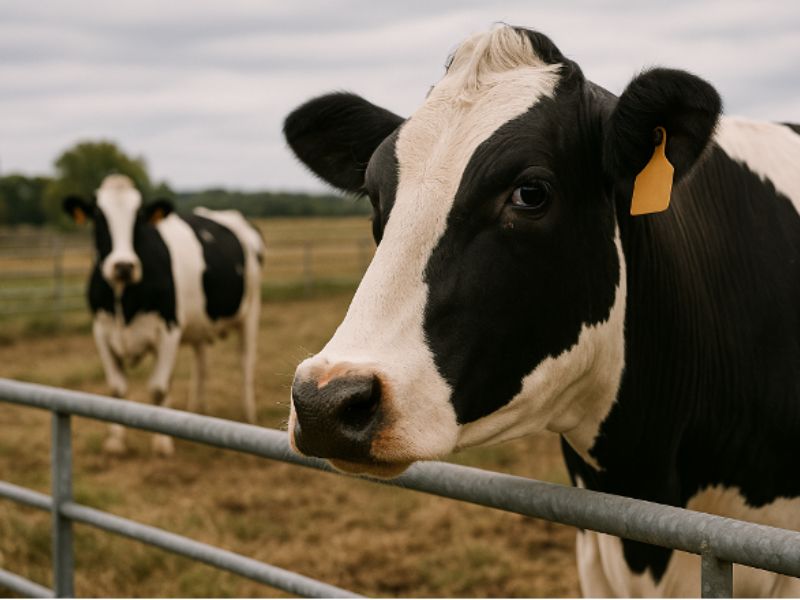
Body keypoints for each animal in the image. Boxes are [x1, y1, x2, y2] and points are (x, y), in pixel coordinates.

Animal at [63, 174, 264, 456]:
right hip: (199, 323)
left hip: (251, 311)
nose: (123, 266)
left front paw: (161, 442)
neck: (123, 300)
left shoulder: (169, 330)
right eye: (99, 217)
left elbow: (158, 388)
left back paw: (248, 415)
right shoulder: (101, 331)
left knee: (246, 361)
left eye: (139, 218)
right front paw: (116, 442)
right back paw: (197, 410)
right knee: (201, 364)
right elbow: (117, 388)